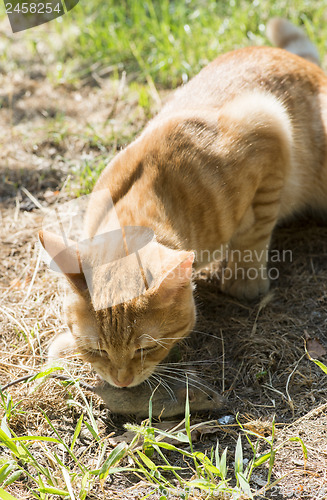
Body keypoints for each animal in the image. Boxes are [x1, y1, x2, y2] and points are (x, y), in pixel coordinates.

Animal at [40, 19, 327, 386]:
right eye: (97, 350)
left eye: (145, 348)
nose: (121, 381)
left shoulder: (268, 126)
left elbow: (255, 232)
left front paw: (244, 282)